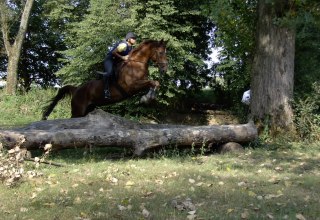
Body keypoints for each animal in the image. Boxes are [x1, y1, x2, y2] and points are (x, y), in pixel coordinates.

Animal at [42, 38, 170, 119]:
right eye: (160, 52)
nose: (164, 69)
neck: (137, 63)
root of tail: (76, 89)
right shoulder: (131, 86)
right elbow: (153, 82)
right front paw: (146, 98)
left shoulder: (141, 83)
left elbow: (155, 83)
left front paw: (148, 98)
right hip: (78, 110)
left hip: (88, 109)